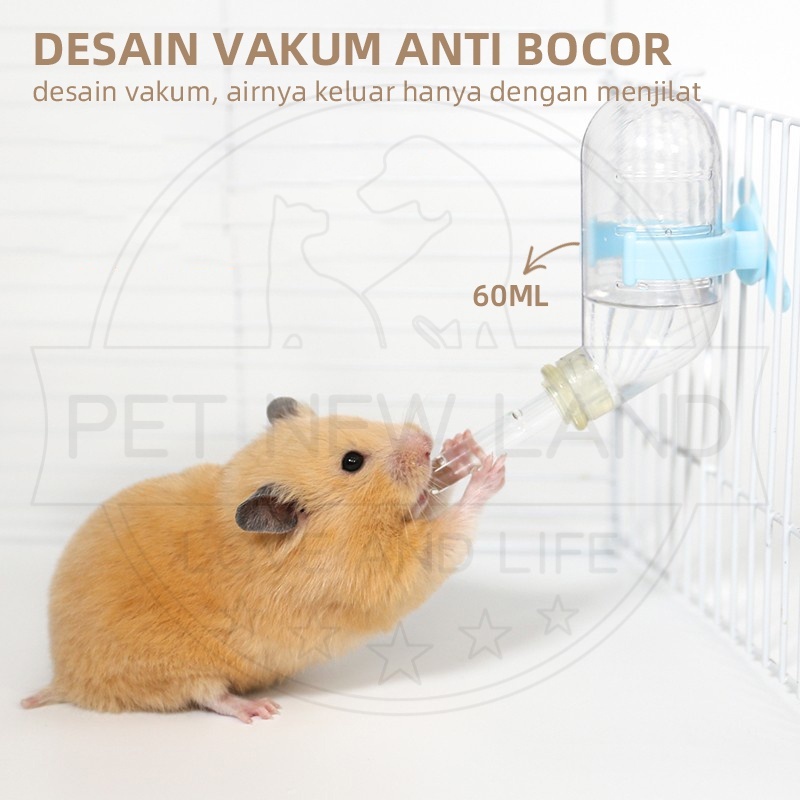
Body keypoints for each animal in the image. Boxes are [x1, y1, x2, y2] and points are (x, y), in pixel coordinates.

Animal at [22, 397, 505, 723]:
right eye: (352, 461)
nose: (426, 443)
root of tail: (66, 678)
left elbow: (434, 498)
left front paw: (460, 451)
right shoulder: (372, 574)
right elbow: (444, 534)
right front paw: (488, 471)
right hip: (172, 671)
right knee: (209, 696)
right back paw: (260, 708)